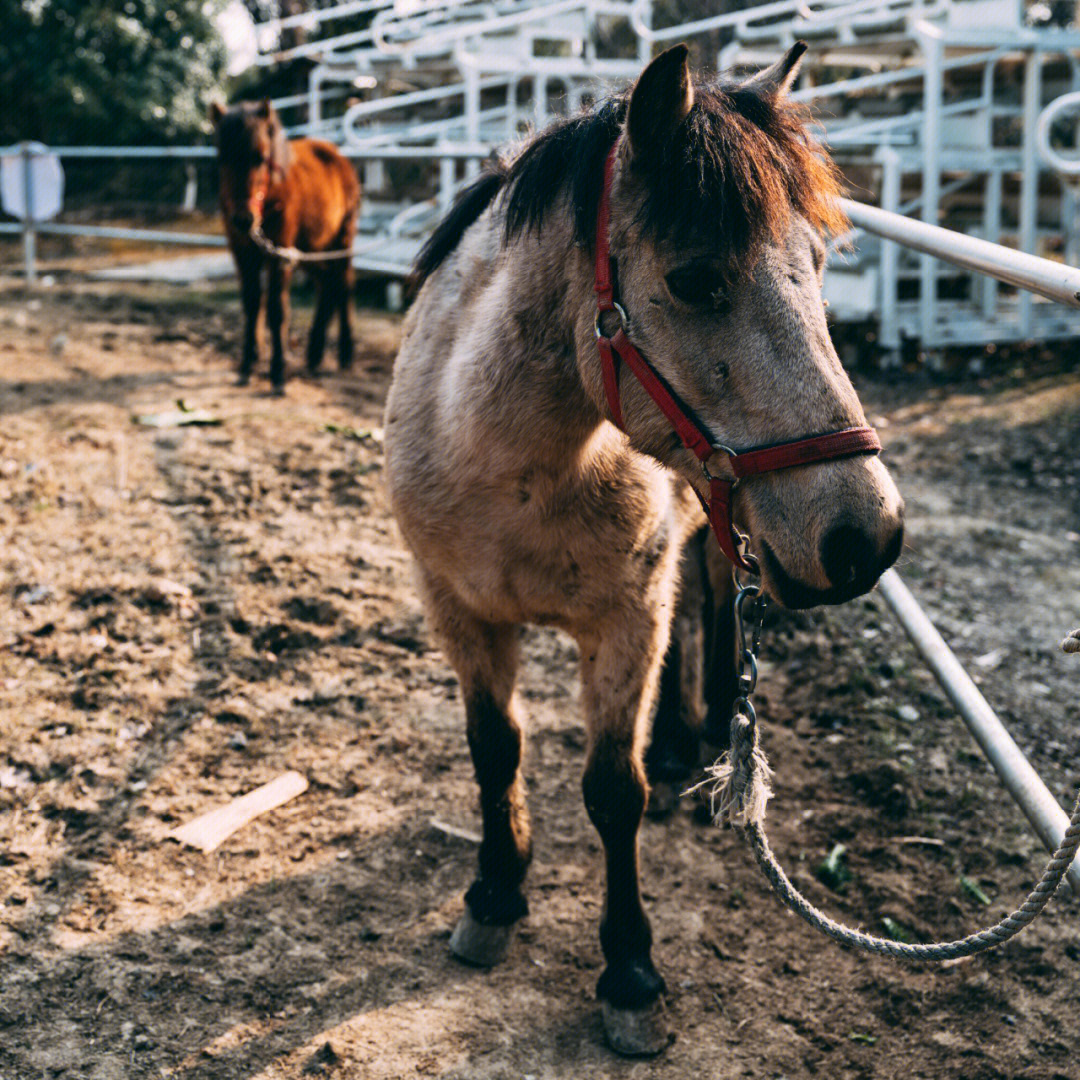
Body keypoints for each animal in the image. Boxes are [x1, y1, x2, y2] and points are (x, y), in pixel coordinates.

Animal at [208, 100, 360, 397]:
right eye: (221, 158)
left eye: (260, 157)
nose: (243, 220)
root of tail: (339, 158)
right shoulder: (242, 253)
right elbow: (252, 303)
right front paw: (247, 365)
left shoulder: (278, 254)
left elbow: (277, 310)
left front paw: (278, 372)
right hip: (311, 249)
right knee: (328, 283)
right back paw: (314, 353)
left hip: (342, 240)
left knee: (345, 283)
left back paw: (346, 353)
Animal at [384, 44, 907, 1054]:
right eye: (698, 279)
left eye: (819, 265)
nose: (868, 535)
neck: (507, 466)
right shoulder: (457, 609)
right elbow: (493, 749)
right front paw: (494, 896)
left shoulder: (626, 619)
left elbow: (610, 790)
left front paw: (628, 973)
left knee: (707, 609)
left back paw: (676, 753)